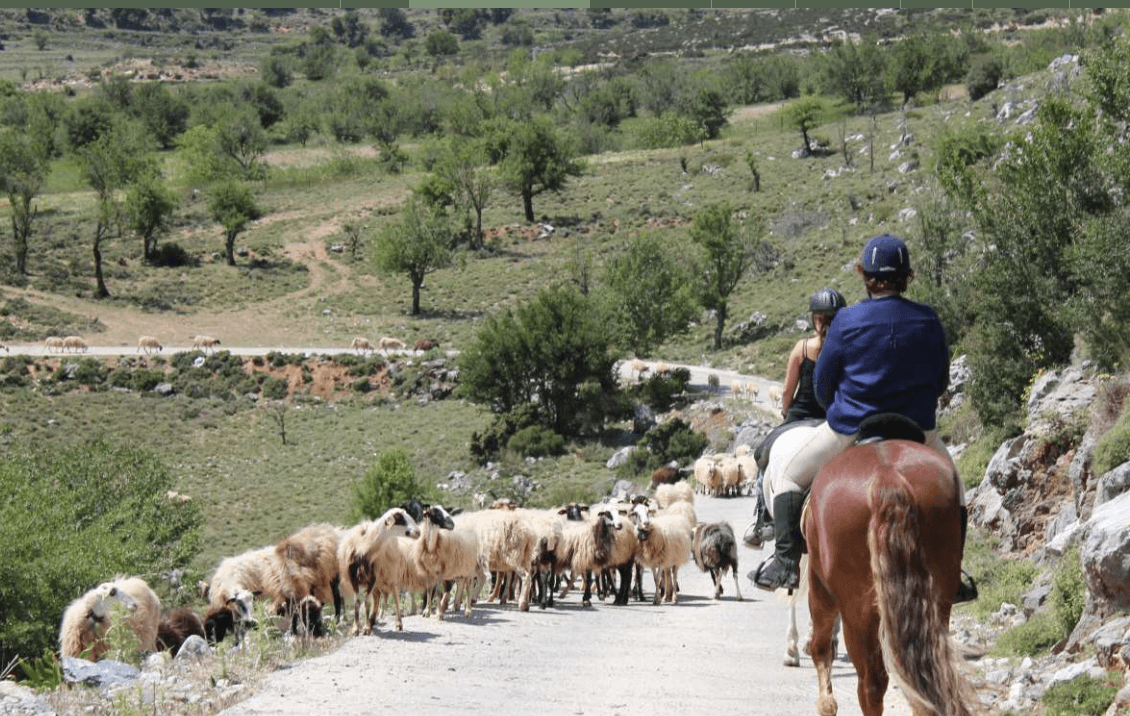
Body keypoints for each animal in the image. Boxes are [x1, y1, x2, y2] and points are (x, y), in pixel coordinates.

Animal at [804, 438, 971, 713]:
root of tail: (887, 476)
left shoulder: (818, 588)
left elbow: (820, 647)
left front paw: (826, 703)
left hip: (855, 612)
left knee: (871, 683)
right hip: (937, 602)